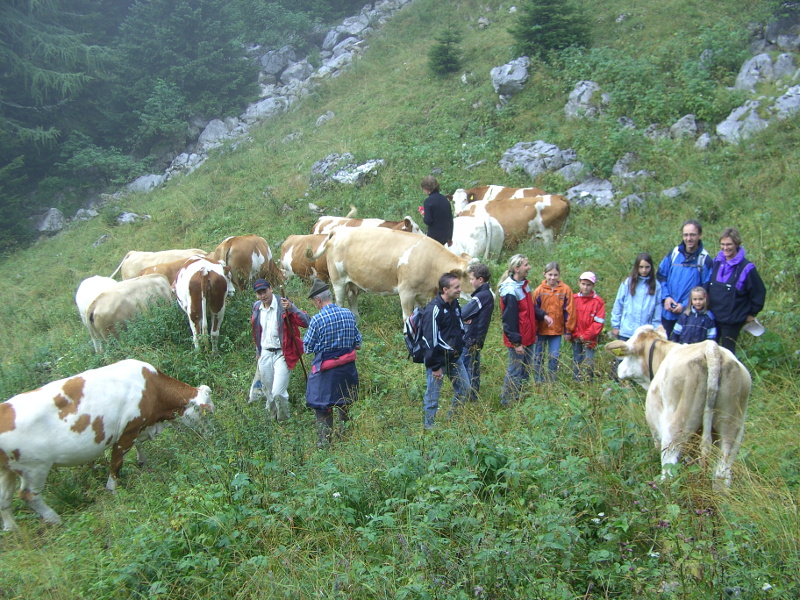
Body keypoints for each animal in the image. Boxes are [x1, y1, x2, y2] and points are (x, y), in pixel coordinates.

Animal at [0, 356, 212, 528]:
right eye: (208, 412)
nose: (212, 435)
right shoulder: (127, 432)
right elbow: (116, 462)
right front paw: (113, 489)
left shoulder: (138, 427)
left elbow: (139, 445)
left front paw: (142, 461)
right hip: (35, 467)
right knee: (29, 495)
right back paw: (54, 519)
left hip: (7, 470)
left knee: (4, 499)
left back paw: (12, 529)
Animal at [306, 226, 472, 318]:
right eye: (469, 277)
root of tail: (338, 230)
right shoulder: (406, 291)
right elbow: (407, 316)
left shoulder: (421, 294)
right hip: (338, 279)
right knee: (340, 301)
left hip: (354, 281)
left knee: (352, 297)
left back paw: (357, 319)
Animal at [608, 324, 752, 488]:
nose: (619, 369)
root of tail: (712, 349)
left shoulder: (656, 430)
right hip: (732, 428)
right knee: (722, 474)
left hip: (674, 430)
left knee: (669, 473)